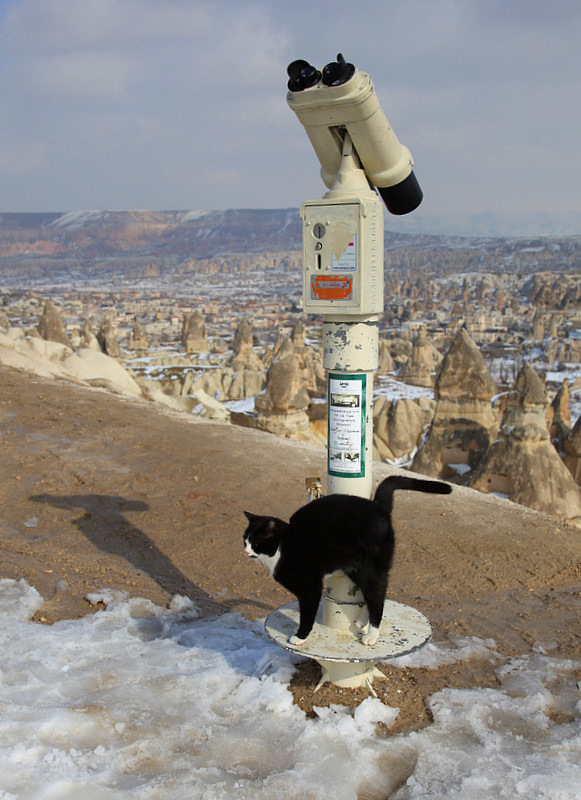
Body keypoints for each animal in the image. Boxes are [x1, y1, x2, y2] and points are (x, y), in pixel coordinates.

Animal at [242, 478, 450, 648]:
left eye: (256, 542)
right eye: (244, 539)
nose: (245, 551)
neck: (284, 546)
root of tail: (378, 507)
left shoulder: (310, 588)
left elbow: (307, 615)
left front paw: (300, 637)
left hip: (371, 569)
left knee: (377, 598)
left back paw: (371, 636)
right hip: (356, 570)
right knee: (372, 596)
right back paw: (361, 622)